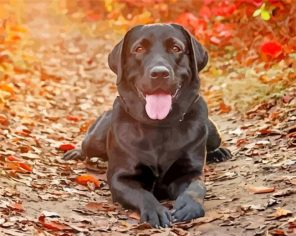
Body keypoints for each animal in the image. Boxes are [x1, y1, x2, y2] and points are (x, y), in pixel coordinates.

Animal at [63, 23, 231, 227]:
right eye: (139, 49)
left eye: (176, 48)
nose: (159, 73)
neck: (158, 126)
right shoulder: (120, 178)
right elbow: (142, 194)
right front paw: (155, 211)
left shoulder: (190, 172)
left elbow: (196, 187)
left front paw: (189, 207)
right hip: (94, 140)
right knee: (86, 145)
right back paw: (75, 152)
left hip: (212, 132)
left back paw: (219, 152)